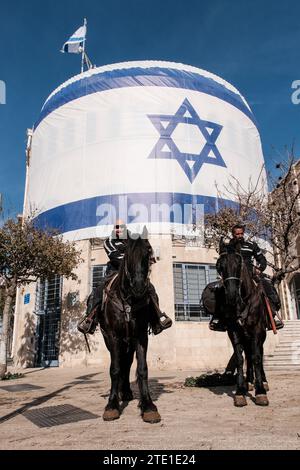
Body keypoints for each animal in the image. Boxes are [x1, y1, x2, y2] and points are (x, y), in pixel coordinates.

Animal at [99, 229, 162, 424]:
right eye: (127, 253)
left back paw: (126, 392)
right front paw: (112, 406)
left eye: (148, 251)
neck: (128, 300)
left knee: (127, 364)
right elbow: (115, 369)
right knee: (120, 363)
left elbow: (142, 369)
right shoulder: (113, 336)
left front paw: (148, 406)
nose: (140, 287)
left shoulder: (141, 336)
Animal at [216, 241, 270, 406]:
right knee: (248, 355)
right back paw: (249, 382)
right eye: (219, 266)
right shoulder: (234, 331)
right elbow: (240, 359)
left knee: (258, 354)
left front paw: (261, 392)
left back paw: (262, 382)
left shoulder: (257, 330)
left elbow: (257, 357)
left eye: (239, 264)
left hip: (260, 335)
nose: (232, 296)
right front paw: (240, 391)